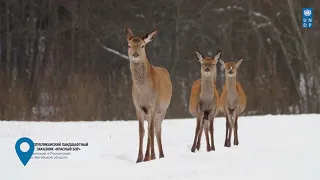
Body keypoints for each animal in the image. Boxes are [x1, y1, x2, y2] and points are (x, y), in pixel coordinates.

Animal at [124, 25, 172, 163]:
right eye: (129, 45)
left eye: (142, 45)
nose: (135, 54)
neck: (143, 93)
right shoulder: (138, 107)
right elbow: (142, 131)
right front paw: (139, 158)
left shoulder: (154, 106)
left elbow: (150, 131)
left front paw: (150, 156)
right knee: (151, 129)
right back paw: (151, 156)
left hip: (163, 110)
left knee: (157, 129)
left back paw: (160, 155)